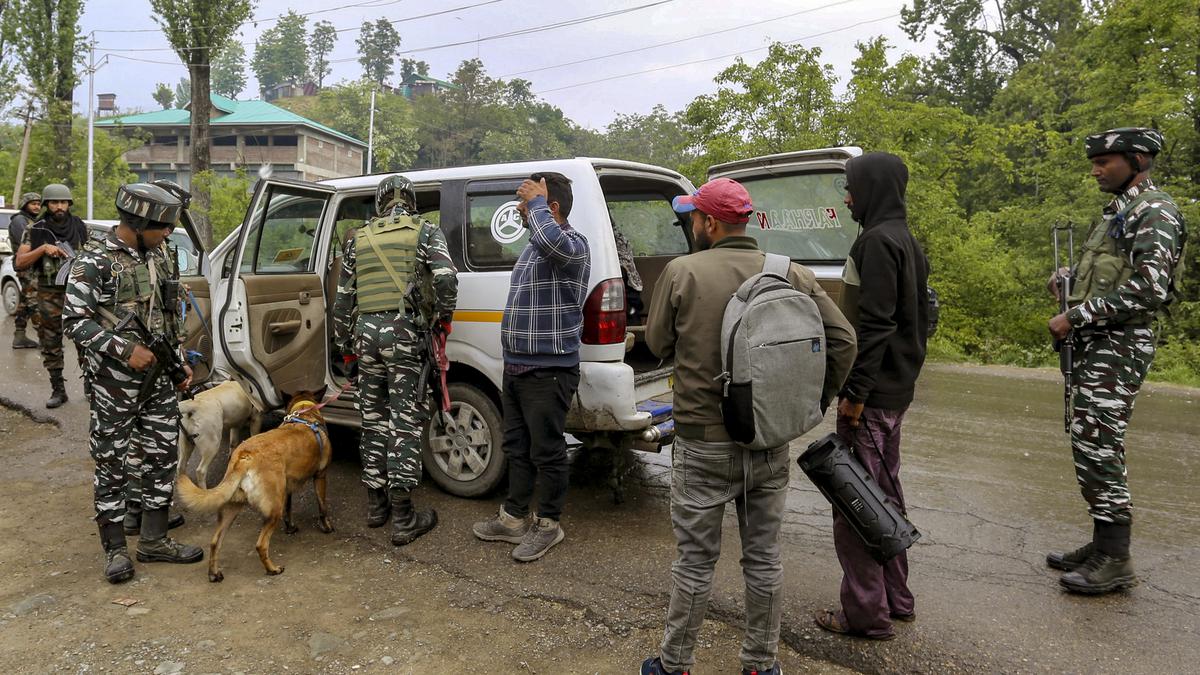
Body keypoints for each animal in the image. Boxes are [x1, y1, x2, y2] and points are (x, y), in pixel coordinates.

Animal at [175, 389, 333, 578]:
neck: (304, 414)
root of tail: (245, 456)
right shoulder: (321, 476)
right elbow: (322, 507)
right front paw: (327, 527)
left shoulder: (287, 489)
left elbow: (289, 510)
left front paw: (291, 527)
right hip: (273, 509)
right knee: (261, 545)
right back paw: (272, 569)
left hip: (232, 507)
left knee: (215, 542)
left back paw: (214, 573)